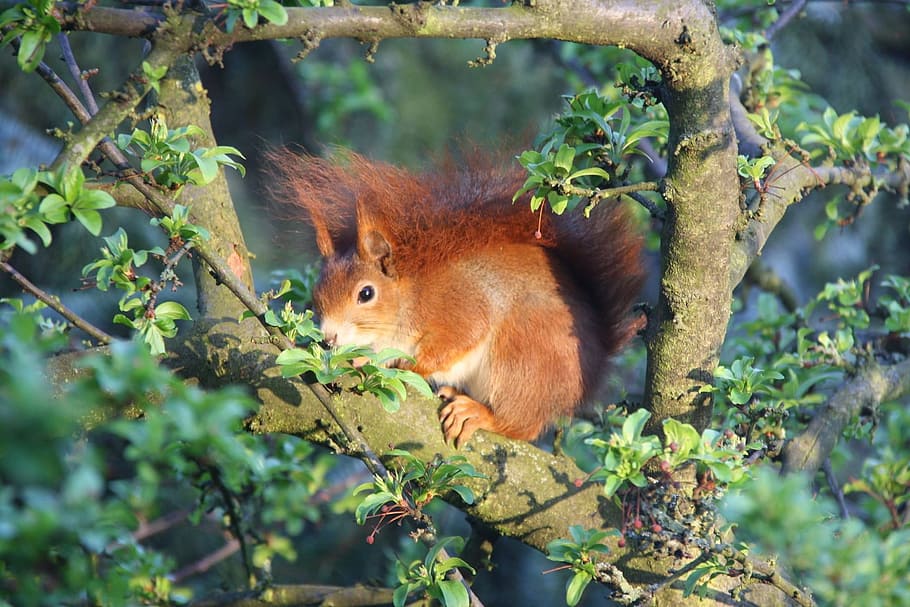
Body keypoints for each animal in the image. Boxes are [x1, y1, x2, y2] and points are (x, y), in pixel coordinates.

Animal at [270, 149, 645, 447]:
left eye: (366, 293)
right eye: (317, 293)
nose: (328, 338)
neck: (410, 297)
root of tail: (595, 364)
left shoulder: (459, 308)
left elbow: (455, 341)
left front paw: (404, 364)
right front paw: (362, 359)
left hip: (524, 353)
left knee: (521, 424)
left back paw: (478, 414)